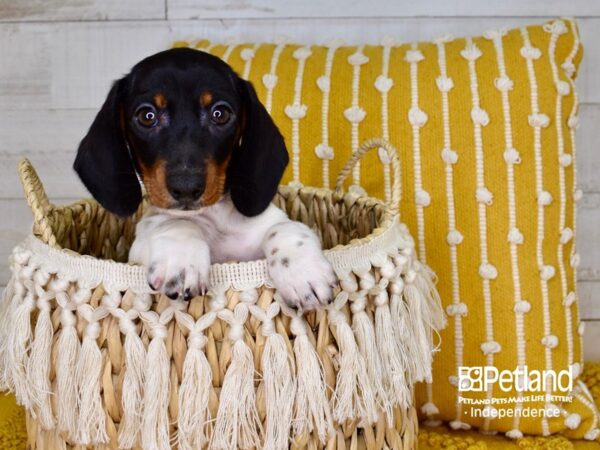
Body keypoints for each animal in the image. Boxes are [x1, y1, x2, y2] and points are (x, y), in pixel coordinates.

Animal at [73, 46, 336, 312]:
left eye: (220, 114)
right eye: (147, 116)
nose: (186, 188)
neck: (214, 219)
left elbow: (284, 226)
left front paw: (303, 271)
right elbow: (175, 222)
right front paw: (181, 259)